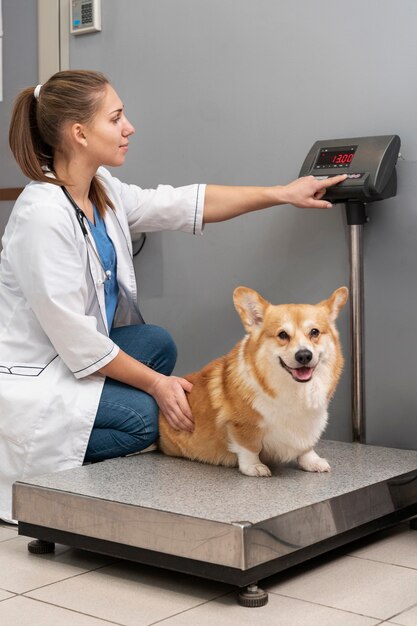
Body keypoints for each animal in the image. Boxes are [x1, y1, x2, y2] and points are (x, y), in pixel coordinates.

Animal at [159, 286, 348, 476]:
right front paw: (254, 467)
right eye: (283, 335)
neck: (295, 389)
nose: (304, 355)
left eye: (314, 332)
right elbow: (249, 447)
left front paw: (312, 461)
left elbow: (306, 445)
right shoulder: (242, 425)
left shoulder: (309, 424)